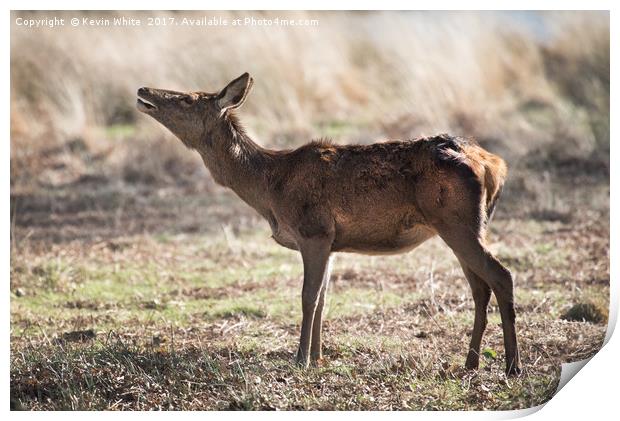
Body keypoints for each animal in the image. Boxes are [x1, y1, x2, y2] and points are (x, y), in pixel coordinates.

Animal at [137, 71, 524, 374]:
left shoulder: (314, 231)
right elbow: (324, 297)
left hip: (457, 223)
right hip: (469, 226)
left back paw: (512, 366)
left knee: (501, 276)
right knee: (479, 287)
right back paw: (470, 362)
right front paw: (319, 356)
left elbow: (308, 296)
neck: (271, 188)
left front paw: (300, 359)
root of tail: (494, 165)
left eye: (188, 98)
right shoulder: (332, 242)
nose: (142, 91)